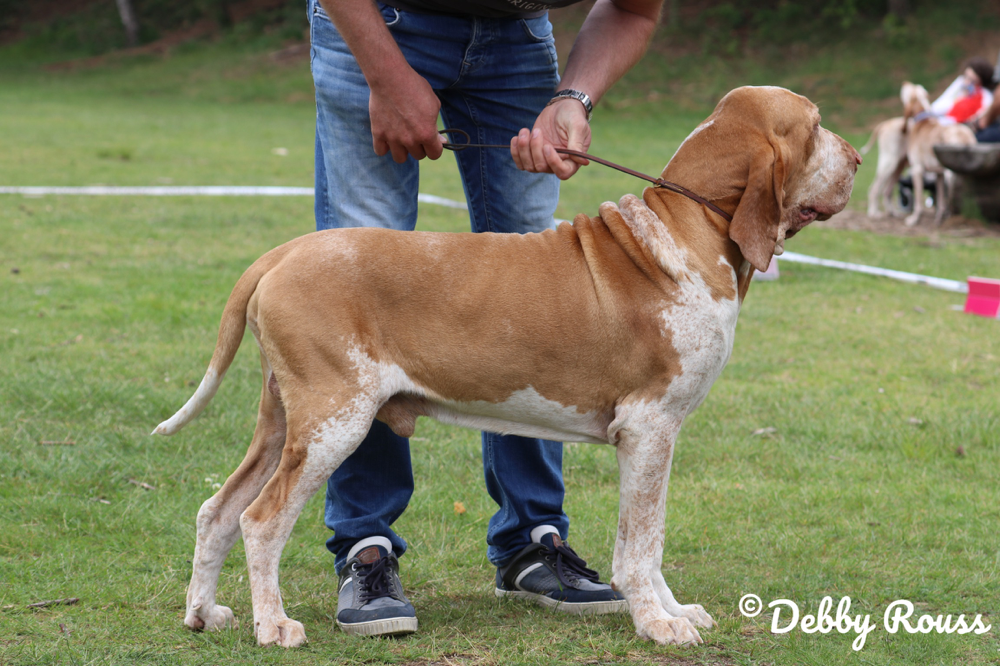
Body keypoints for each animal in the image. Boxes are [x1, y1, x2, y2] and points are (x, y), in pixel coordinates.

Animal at [154, 85, 860, 644]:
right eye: (816, 125)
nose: (856, 159)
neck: (690, 228)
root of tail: (283, 253)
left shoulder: (654, 441)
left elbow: (647, 540)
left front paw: (672, 610)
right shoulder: (649, 429)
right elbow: (642, 545)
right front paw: (658, 624)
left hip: (285, 423)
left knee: (218, 511)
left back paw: (204, 613)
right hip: (335, 422)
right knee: (260, 521)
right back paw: (273, 626)